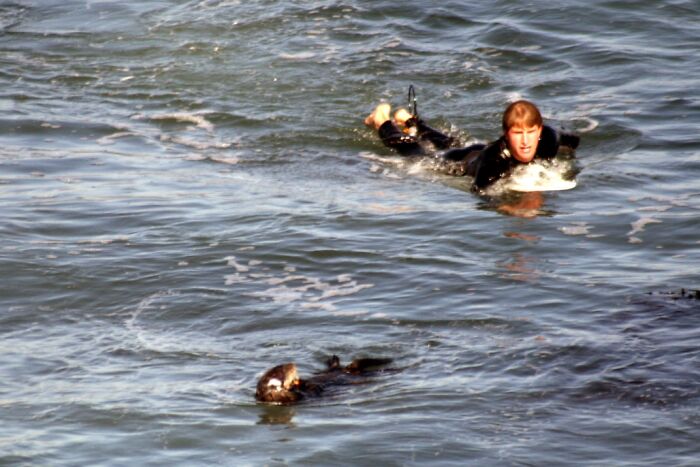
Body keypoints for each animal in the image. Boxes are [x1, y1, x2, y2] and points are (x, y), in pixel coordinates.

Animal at [255, 355, 393, 404]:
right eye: (282, 370)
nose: (291, 364)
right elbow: (316, 388)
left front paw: (301, 381)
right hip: (357, 371)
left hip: (338, 369)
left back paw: (333, 360)